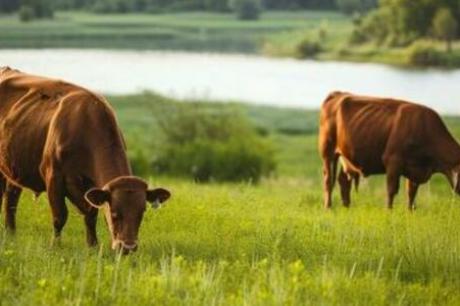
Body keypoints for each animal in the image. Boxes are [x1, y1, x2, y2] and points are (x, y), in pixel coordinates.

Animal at [0, 67, 171, 253]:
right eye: (114, 214)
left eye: (141, 213)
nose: (128, 247)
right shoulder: (53, 176)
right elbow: (60, 216)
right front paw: (56, 246)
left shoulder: (92, 186)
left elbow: (91, 215)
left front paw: (93, 246)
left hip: (14, 168)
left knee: (11, 199)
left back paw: (11, 234)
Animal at [318, 91, 460, 210]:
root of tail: (338, 94)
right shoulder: (393, 161)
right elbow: (392, 190)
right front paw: (389, 211)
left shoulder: (415, 168)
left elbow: (411, 193)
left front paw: (410, 212)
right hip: (327, 152)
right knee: (328, 180)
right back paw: (328, 207)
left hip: (346, 157)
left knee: (343, 180)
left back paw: (347, 207)